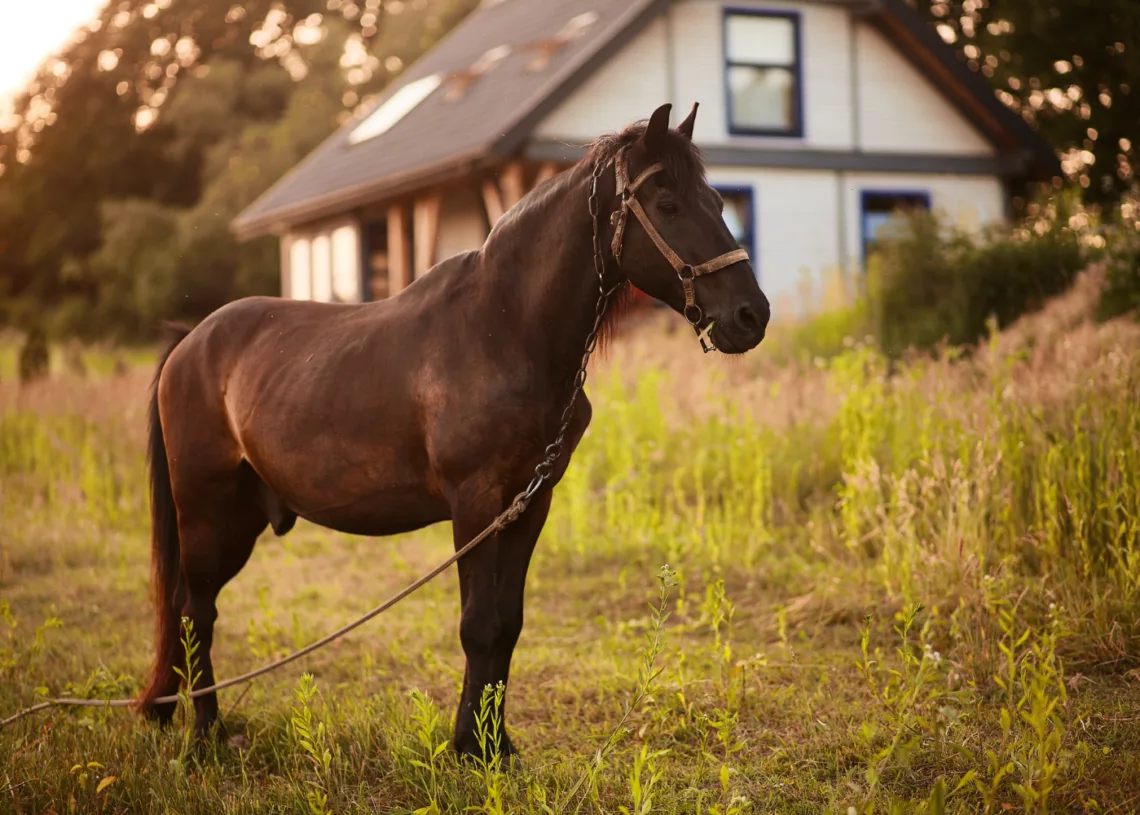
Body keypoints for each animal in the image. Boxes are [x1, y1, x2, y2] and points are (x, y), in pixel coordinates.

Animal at [138, 102, 770, 759]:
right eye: (668, 204)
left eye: (718, 202)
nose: (751, 315)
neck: (503, 330)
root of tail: (190, 341)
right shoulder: (474, 503)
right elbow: (478, 625)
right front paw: (471, 746)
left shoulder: (529, 504)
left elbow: (507, 624)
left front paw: (497, 744)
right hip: (206, 509)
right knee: (195, 612)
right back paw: (206, 736)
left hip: (243, 518)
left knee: (190, 610)